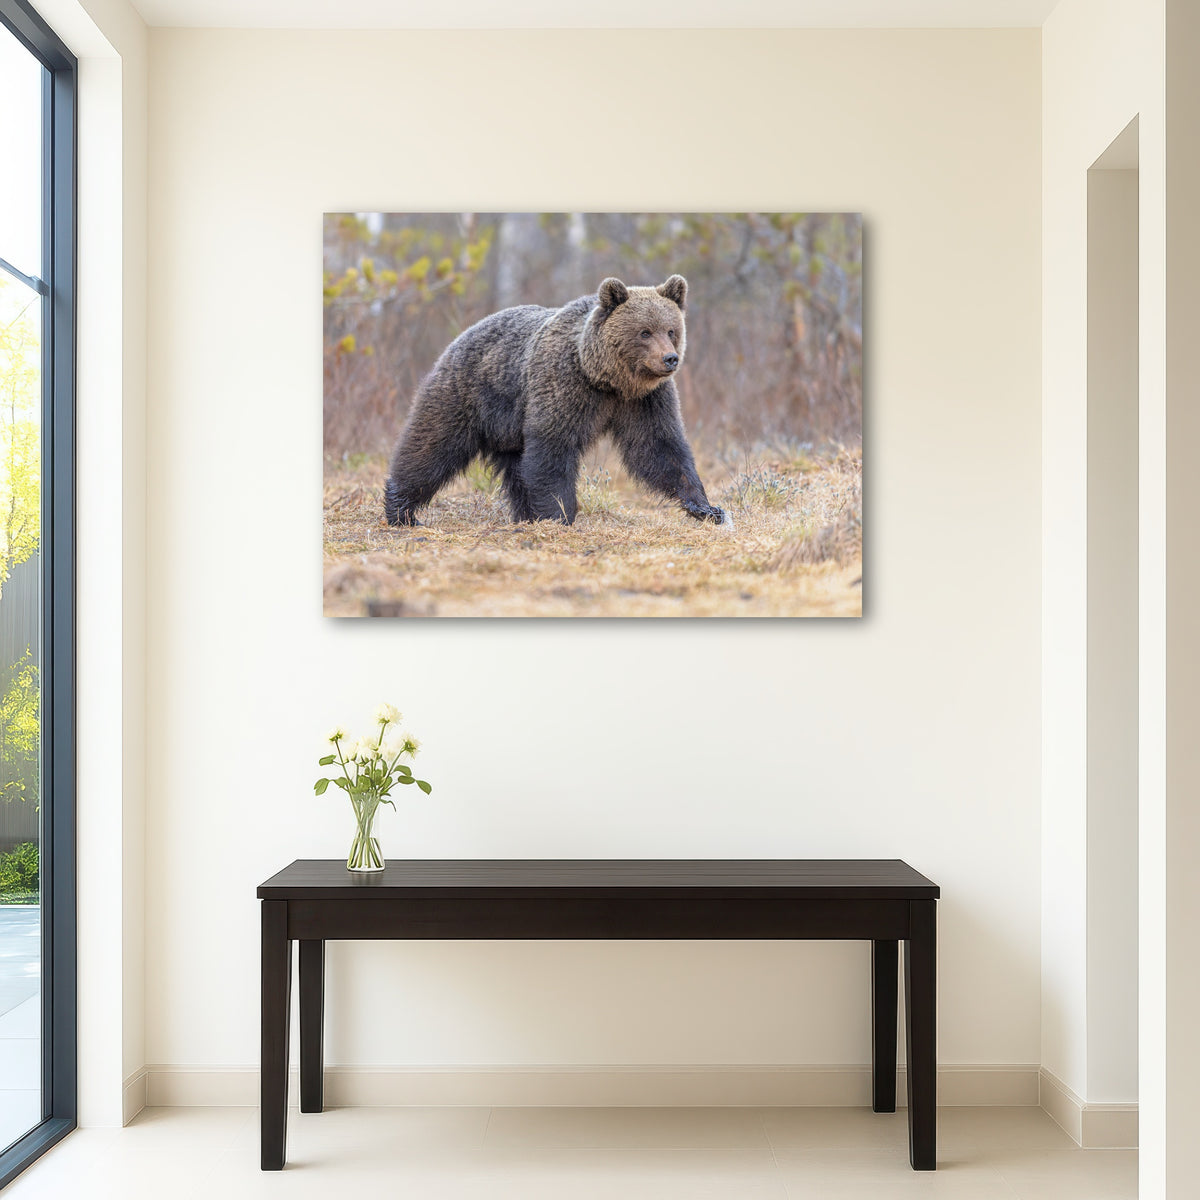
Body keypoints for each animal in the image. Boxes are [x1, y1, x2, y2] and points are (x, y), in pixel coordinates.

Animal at [383, 274, 728, 528]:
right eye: (644, 332)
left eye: (671, 330)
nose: (669, 359)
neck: (607, 379)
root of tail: (461, 336)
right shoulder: (565, 385)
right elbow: (553, 448)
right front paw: (560, 515)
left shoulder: (645, 400)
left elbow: (660, 447)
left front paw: (706, 507)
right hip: (468, 395)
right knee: (432, 446)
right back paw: (401, 510)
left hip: (509, 428)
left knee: (516, 469)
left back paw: (524, 516)